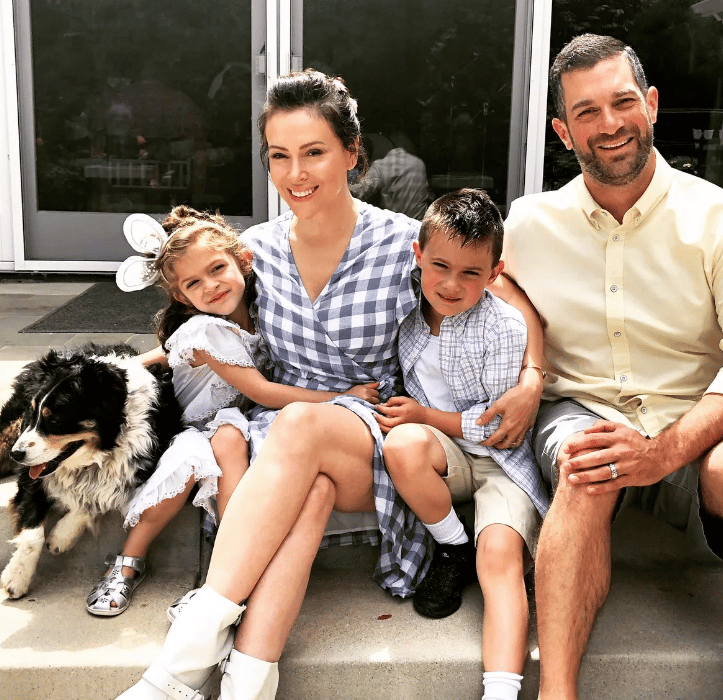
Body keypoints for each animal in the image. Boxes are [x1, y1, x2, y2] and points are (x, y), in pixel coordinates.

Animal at [0, 343, 182, 599]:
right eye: (33, 412)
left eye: (55, 419)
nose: (16, 454)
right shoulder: (31, 475)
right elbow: (32, 535)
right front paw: (16, 576)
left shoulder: (139, 469)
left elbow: (96, 499)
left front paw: (61, 536)